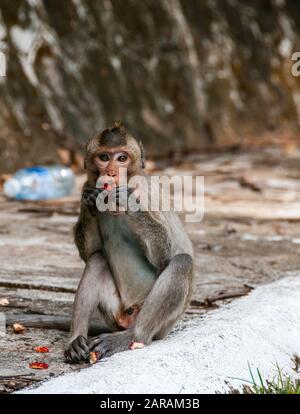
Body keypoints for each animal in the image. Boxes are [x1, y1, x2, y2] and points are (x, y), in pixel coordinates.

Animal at [63, 122, 195, 362]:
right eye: (104, 157)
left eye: (122, 158)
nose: (111, 172)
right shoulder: (88, 182)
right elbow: (90, 252)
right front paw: (89, 201)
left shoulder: (144, 191)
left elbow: (165, 256)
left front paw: (127, 202)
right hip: (114, 311)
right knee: (97, 259)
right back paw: (76, 339)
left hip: (161, 325)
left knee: (182, 262)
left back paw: (132, 336)